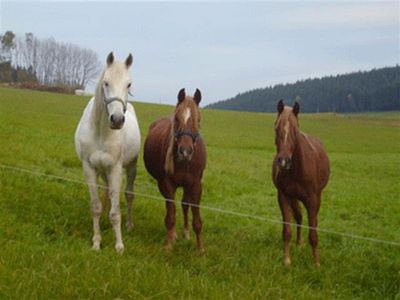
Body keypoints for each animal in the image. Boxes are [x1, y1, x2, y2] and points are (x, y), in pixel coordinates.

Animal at [74, 52, 141, 252]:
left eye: (129, 84)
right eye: (106, 82)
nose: (117, 119)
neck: (101, 132)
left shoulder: (115, 169)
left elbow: (116, 212)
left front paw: (119, 245)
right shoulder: (89, 168)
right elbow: (95, 207)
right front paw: (96, 241)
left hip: (131, 166)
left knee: (128, 195)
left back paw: (129, 224)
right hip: (101, 171)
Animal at [143, 88, 206, 253]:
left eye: (197, 120)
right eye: (177, 119)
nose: (185, 151)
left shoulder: (195, 184)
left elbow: (196, 217)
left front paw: (201, 249)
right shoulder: (166, 184)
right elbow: (170, 215)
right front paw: (169, 244)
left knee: (184, 204)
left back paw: (185, 233)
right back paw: (174, 235)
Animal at [272, 99, 332, 266]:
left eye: (295, 131)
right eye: (276, 128)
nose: (284, 161)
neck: (297, 170)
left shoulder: (312, 200)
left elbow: (313, 234)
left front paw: (316, 263)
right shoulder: (284, 196)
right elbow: (287, 230)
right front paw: (287, 260)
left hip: (317, 197)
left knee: (312, 221)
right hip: (294, 198)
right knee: (298, 217)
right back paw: (298, 243)